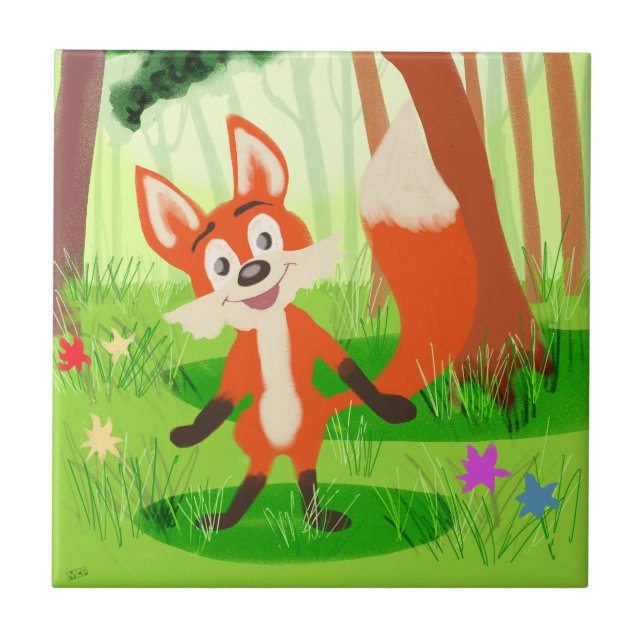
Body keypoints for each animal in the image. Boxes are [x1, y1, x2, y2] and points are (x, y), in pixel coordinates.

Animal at [134, 101, 478, 532]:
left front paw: (390, 408)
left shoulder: (310, 333)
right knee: (255, 478)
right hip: (255, 436)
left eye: (265, 239)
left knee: (305, 477)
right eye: (220, 266)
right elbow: (221, 401)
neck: (269, 327)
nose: (252, 271)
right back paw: (225, 521)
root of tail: (283, 446)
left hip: (308, 438)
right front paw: (188, 434)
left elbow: (350, 370)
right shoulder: (241, 361)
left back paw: (318, 521)